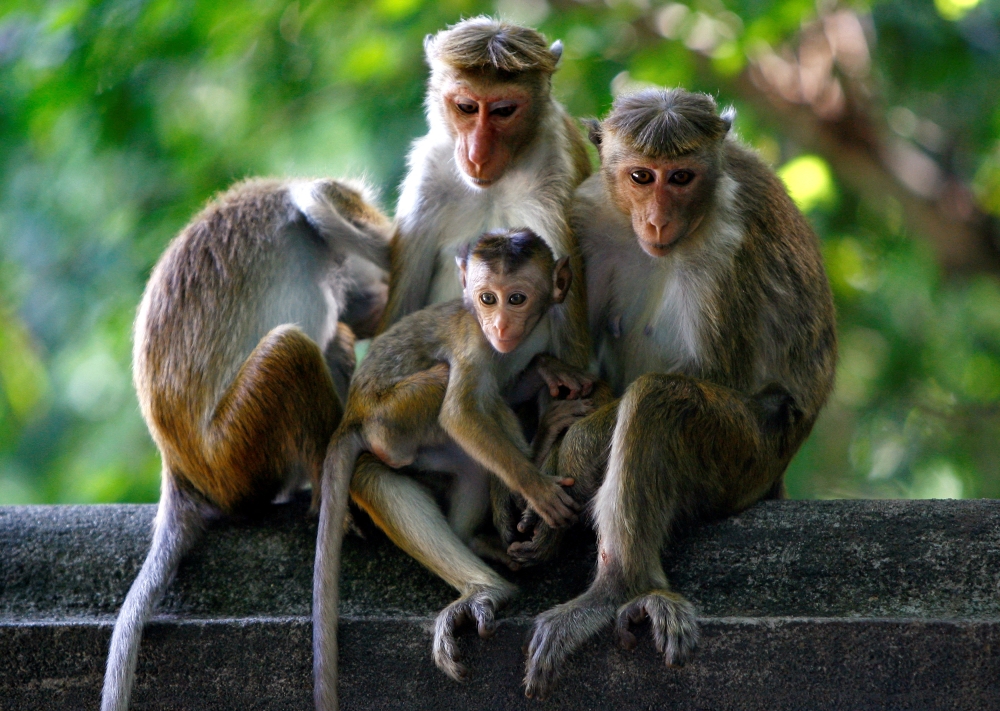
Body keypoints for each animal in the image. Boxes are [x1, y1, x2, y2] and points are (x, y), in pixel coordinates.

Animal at [101, 177, 392, 711]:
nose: (375, 294)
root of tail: (180, 470)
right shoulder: (330, 210)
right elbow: (322, 202)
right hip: (238, 451)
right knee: (292, 350)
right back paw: (327, 495)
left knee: (330, 342)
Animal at [312, 228, 594, 711]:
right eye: (486, 298)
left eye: (516, 298)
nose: (498, 325)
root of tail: (353, 411)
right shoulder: (472, 340)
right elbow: (461, 413)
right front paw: (537, 488)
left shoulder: (542, 327)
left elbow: (509, 384)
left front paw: (547, 369)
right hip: (392, 418)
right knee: (438, 401)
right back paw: (488, 587)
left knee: (475, 456)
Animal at [511, 89, 837, 698]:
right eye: (642, 176)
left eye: (682, 177)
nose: (659, 218)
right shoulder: (588, 214)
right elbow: (580, 364)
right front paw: (554, 444)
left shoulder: (731, 240)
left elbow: (716, 372)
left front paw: (576, 451)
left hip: (747, 459)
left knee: (660, 402)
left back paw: (617, 590)